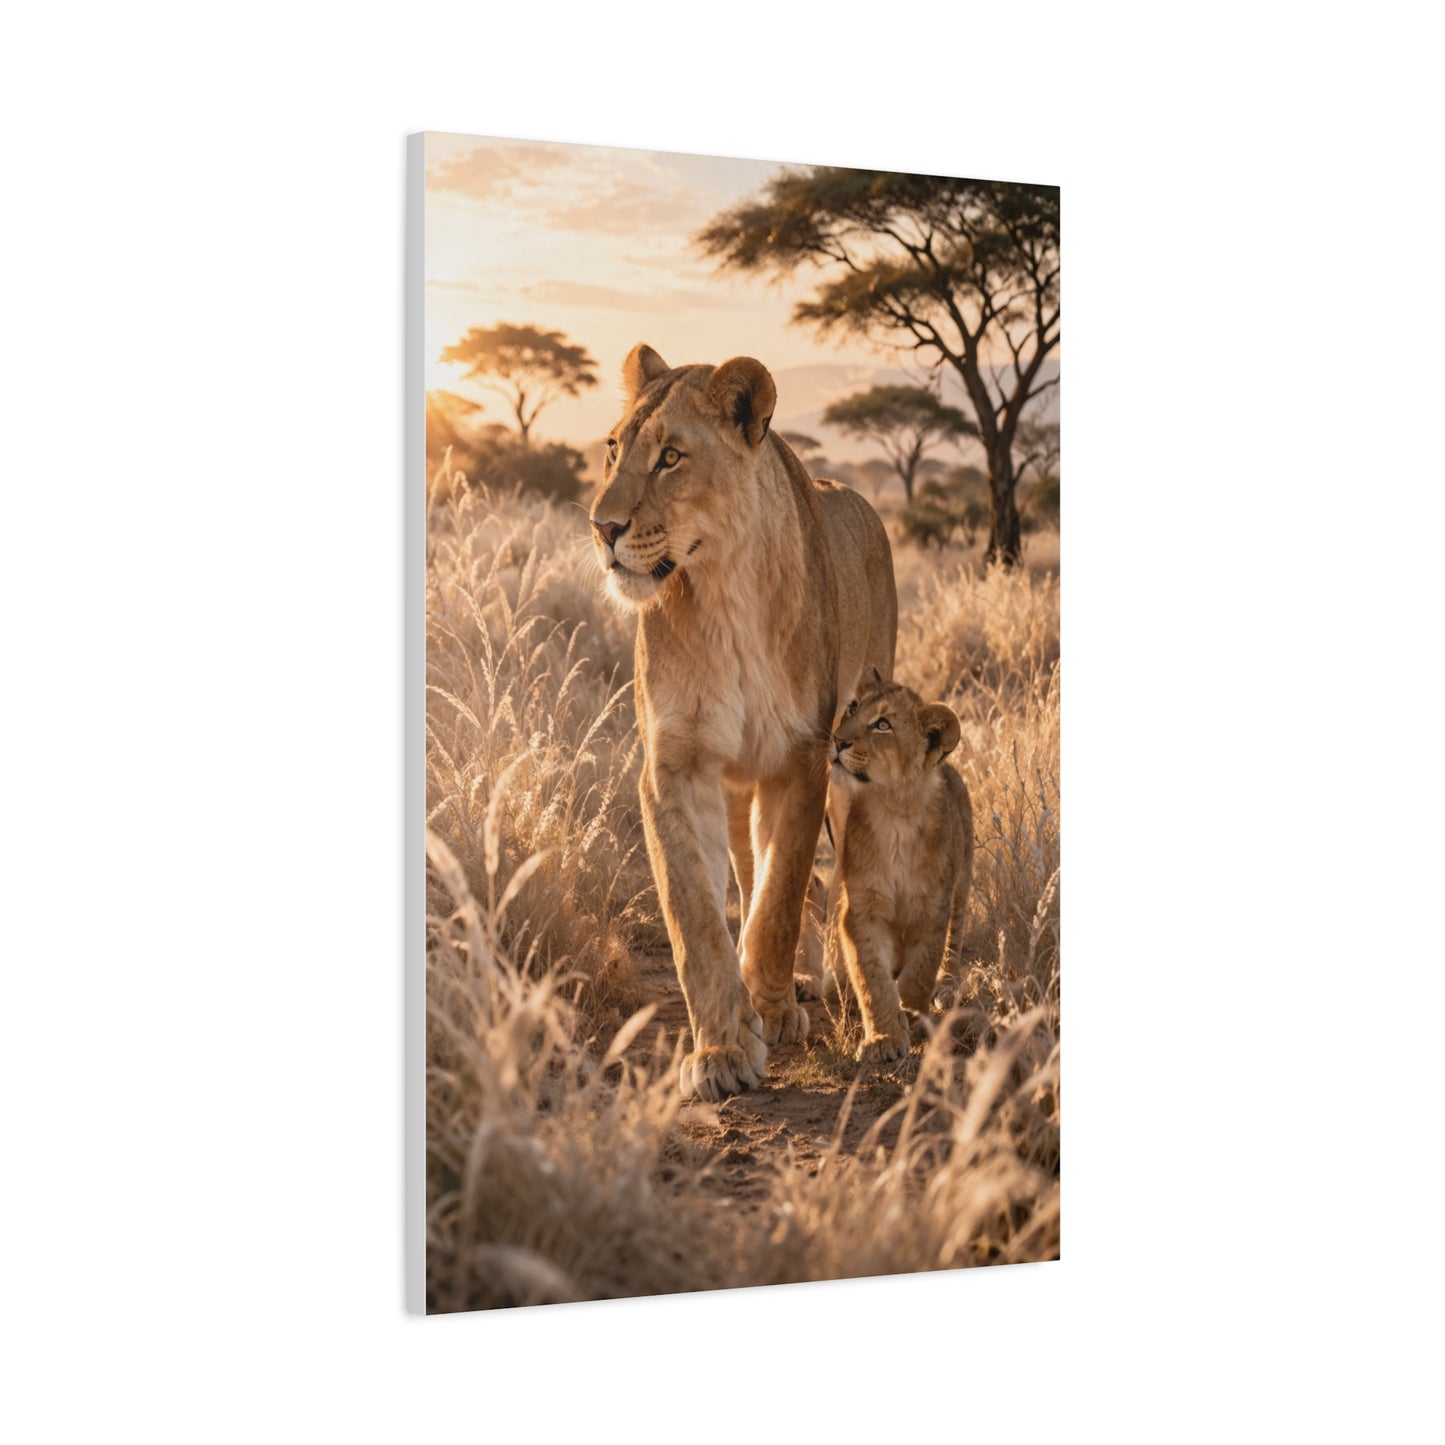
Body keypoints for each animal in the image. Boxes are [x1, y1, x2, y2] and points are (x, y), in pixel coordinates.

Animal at [589, 344, 897, 1101]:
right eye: (613, 449)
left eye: (670, 457)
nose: (601, 528)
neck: (723, 589)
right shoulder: (674, 765)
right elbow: (695, 914)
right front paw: (724, 1046)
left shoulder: (803, 757)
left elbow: (780, 894)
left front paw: (772, 1006)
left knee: (812, 879)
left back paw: (809, 984)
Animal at [827, 668, 974, 1064]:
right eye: (853, 708)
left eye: (882, 724)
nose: (837, 740)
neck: (894, 812)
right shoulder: (861, 909)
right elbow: (871, 979)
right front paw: (884, 1037)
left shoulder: (933, 908)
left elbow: (921, 970)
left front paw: (910, 1011)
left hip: (961, 888)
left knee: (953, 945)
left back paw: (947, 987)